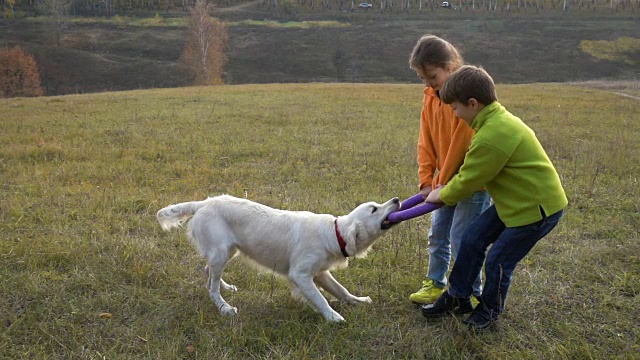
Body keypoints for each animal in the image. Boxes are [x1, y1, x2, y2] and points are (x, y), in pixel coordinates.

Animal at [158, 195, 398, 322]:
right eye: (374, 209)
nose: (396, 199)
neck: (333, 233)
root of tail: (203, 203)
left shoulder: (320, 273)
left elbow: (341, 290)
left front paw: (358, 301)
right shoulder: (300, 275)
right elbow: (320, 298)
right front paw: (333, 317)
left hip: (226, 252)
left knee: (209, 274)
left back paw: (227, 288)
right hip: (220, 252)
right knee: (211, 287)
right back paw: (225, 307)